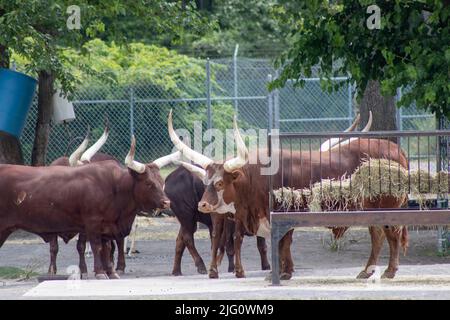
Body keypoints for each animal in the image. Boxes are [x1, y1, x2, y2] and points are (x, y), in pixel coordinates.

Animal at [0, 136, 170, 278]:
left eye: (161, 181)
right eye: (149, 183)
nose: (166, 203)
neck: (114, 186)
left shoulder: (107, 226)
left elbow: (107, 247)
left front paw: (111, 272)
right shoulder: (92, 223)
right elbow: (96, 247)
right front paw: (100, 272)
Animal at [168, 111, 408, 282]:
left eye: (219, 183)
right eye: (205, 181)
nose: (203, 205)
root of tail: (395, 149)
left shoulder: (282, 212)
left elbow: (282, 242)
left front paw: (282, 273)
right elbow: (281, 243)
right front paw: (283, 271)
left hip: (388, 207)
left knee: (391, 235)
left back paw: (390, 271)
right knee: (377, 235)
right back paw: (367, 271)